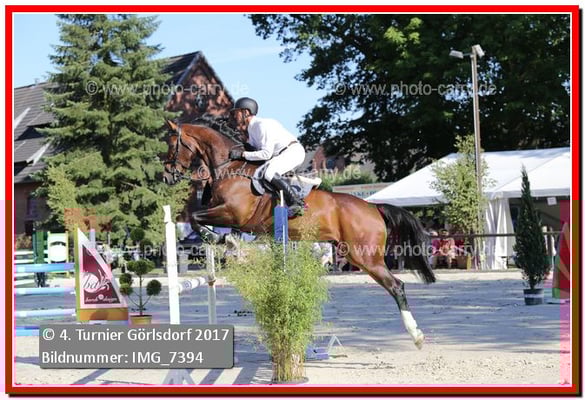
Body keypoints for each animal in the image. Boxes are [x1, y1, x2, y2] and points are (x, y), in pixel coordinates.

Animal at [162, 117, 436, 349]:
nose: (166, 177)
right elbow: (205, 221)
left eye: (171, 144)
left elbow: (196, 219)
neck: (229, 166)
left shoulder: (232, 213)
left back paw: (416, 335)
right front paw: (229, 242)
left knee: (396, 286)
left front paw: (220, 239)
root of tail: (373, 207)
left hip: (365, 256)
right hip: (356, 254)